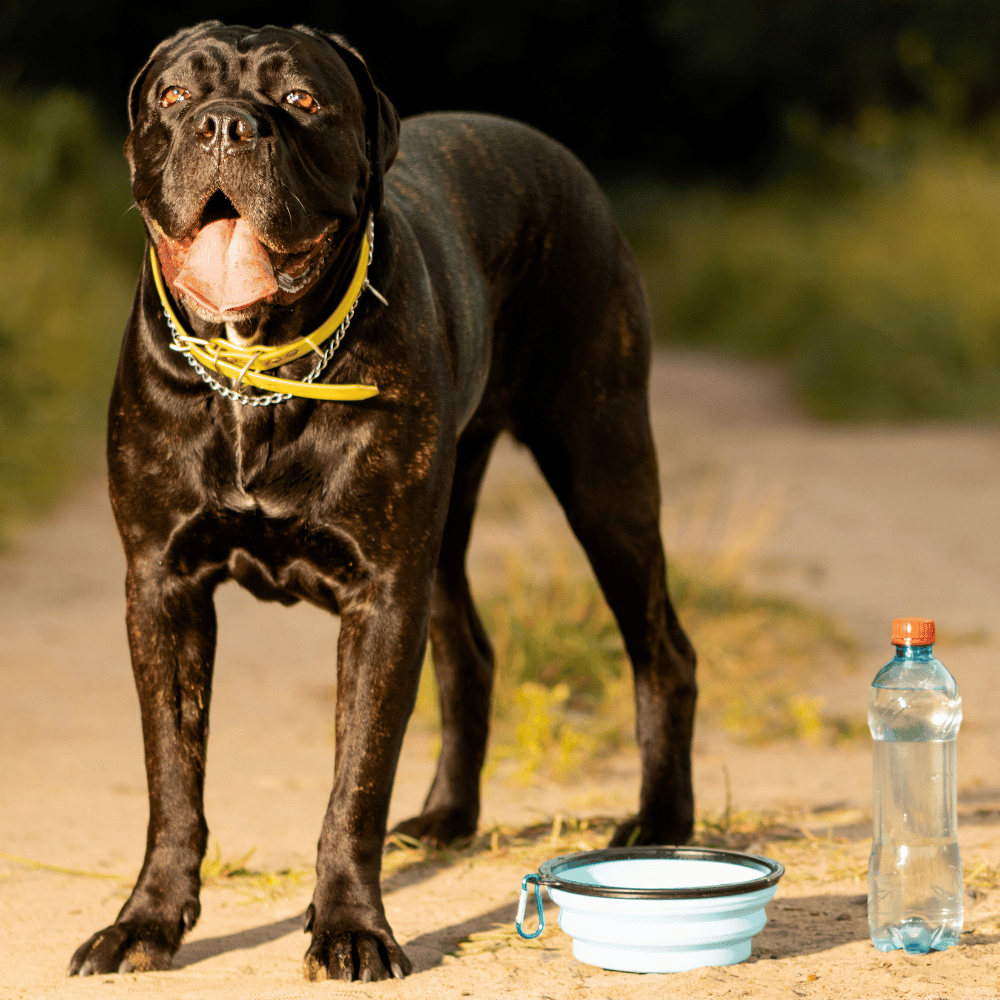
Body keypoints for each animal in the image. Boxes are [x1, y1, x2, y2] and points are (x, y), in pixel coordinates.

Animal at [68, 19, 696, 980]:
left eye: (300, 99)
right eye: (175, 96)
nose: (226, 124)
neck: (259, 375)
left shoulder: (383, 594)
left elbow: (356, 778)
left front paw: (351, 928)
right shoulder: (162, 587)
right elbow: (172, 778)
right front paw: (146, 921)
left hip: (603, 467)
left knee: (664, 650)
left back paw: (660, 824)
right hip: (450, 534)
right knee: (471, 653)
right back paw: (447, 818)